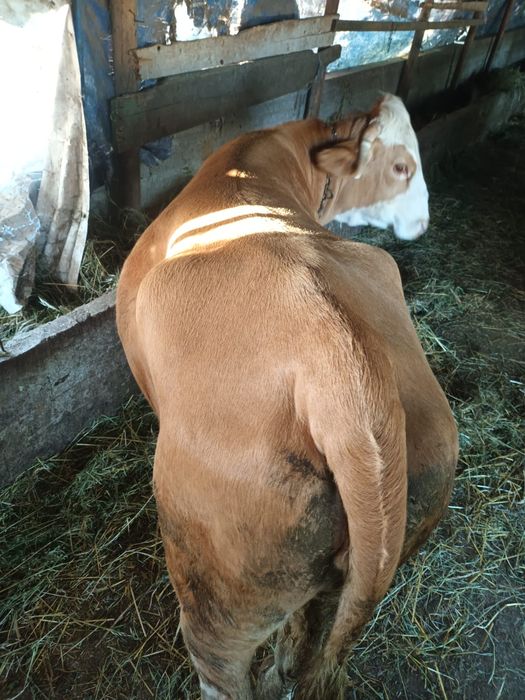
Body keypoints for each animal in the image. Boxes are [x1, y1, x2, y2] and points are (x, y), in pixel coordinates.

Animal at [116, 94, 458, 700]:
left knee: (222, 669)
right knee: (310, 638)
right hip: (366, 550)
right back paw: (283, 674)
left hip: (222, 582)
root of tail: (343, 365)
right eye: (401, 166)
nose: (421, 222)